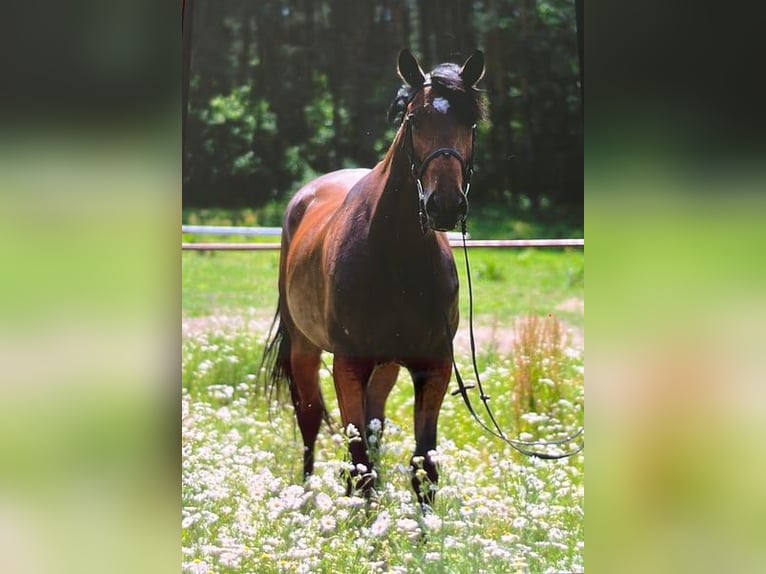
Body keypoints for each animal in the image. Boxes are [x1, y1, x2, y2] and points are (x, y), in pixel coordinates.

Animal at [262, 49, 485, 507]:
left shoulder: (433, 367)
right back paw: (306, 500)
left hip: (386, 368)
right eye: (413, 119)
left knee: (373, 423)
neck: (395, 260)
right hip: (306, 349)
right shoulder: (349, 365)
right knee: (311, 421)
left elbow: (423, 466)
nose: (444, 205)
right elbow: (360, 461)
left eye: (471, 122)